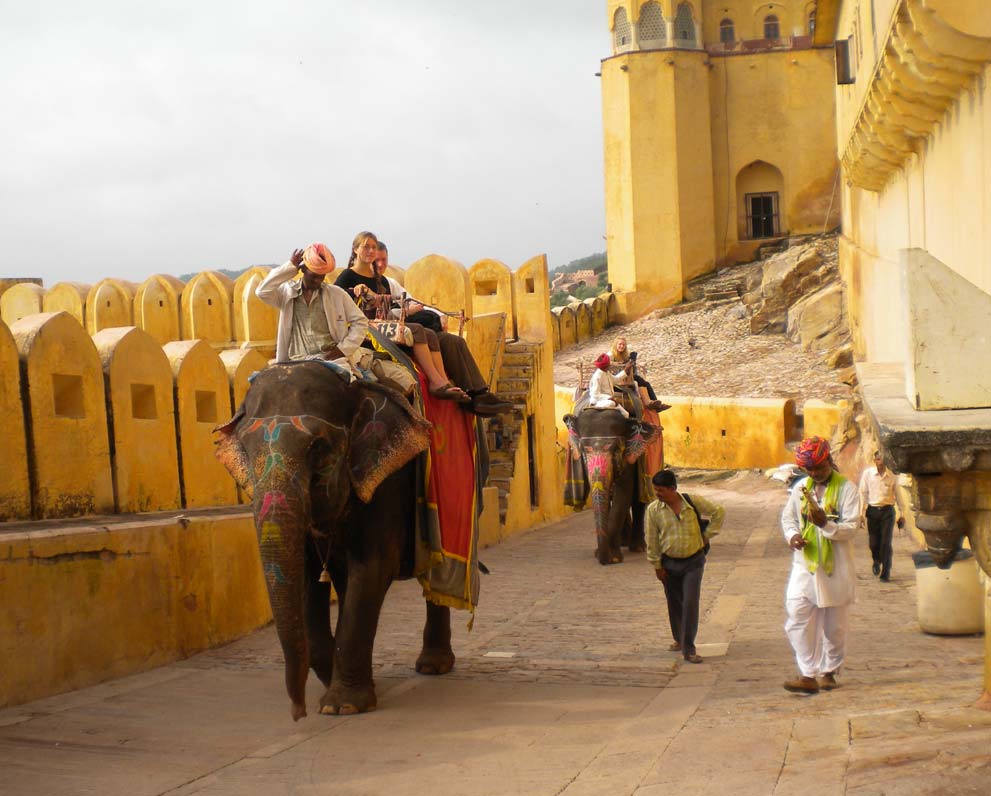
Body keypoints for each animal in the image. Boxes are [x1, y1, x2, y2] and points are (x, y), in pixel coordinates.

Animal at [215, 362, 460, 720]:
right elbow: (306, 578)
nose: (298, 713)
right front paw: (340, 689)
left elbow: (373, 567)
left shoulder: (386, 480)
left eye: (317, 448)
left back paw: (433, 666)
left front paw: (342, 705)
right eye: (245, 449)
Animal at [564, 404, 660, 564]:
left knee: (638, 499)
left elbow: (623, 492)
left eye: (616, 449)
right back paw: (623, 541)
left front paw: (613, 558)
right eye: (583, 450)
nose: (602, 559)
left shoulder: (628, 457)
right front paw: (602, 554)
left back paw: (637, 547)